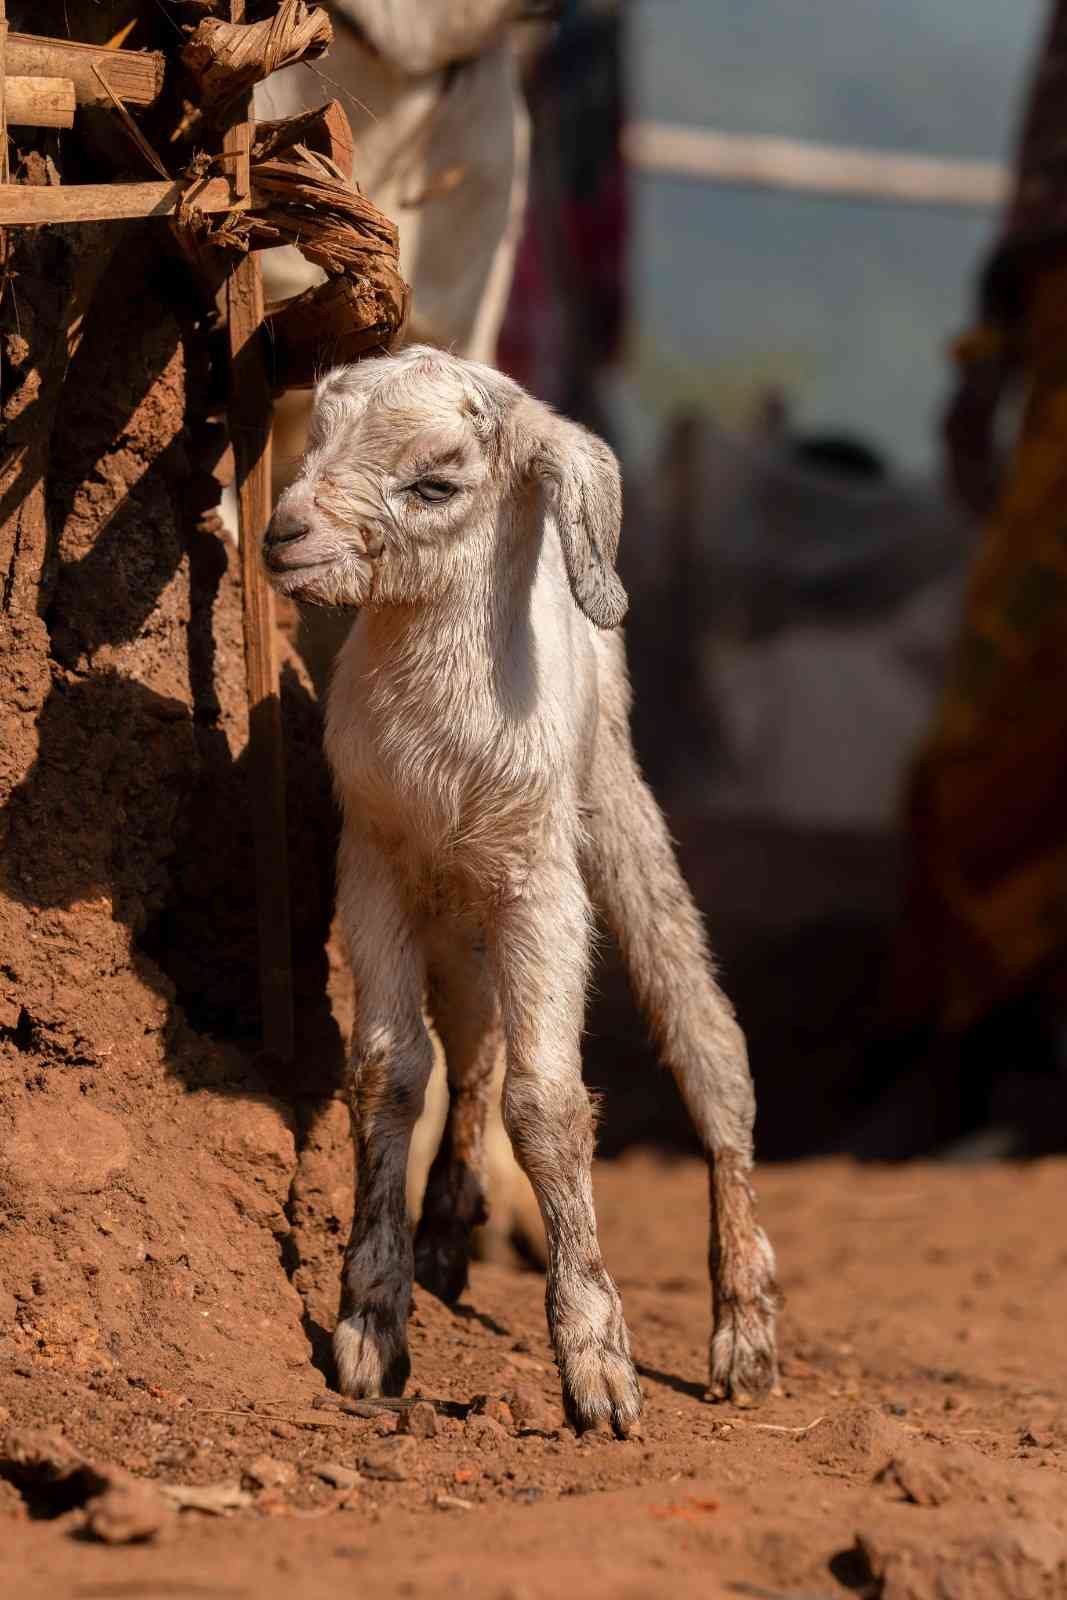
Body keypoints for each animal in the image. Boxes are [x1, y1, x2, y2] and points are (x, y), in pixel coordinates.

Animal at [263, 346, 779, 1435]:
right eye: (314, 439)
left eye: (434, 482)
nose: (283, 535)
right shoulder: (372, 864)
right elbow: (390, 1071)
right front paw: (369, 1322)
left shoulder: (540, 879)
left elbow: (547, 1101)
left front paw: (597, 1366)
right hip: (455, 911)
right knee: (472, 1045)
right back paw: (446, 1224)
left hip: (611, 808)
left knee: (708, 1042)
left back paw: (744, 1329)